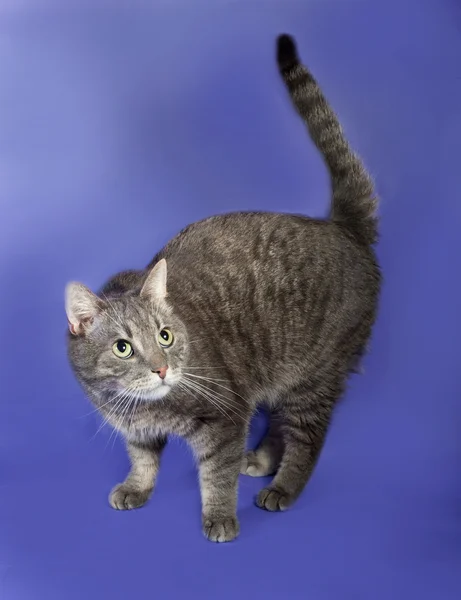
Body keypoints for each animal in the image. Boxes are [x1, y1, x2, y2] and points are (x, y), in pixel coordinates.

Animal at [65, 34, 380, 544]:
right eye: (123, 347)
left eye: (166, 336)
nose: (161, 369)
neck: (141, 406)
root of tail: (343, 227)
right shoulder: (136, 430)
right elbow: (142, 459)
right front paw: (136, 487)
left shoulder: (226, 417)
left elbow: (216, 473)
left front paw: (219, 517)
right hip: (280, 372)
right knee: (278, 423)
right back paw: (264, 459)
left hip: (315, 374)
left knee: (307, 435)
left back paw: (284, 486)